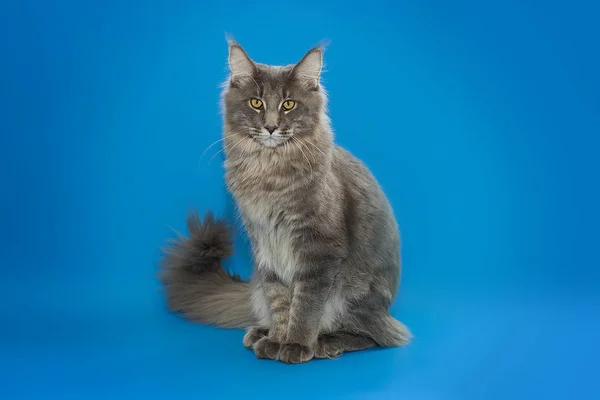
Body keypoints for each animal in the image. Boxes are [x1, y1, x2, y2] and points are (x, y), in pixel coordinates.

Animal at [161, 39, 412, 362]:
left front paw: (296, 344)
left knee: (381, 336)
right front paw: (278, 339)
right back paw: (260, 332)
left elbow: (305, 303)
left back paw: (326, 342)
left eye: (288, 104)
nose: (270, 127)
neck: (269, 172)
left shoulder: (319, 250)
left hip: (354, 293)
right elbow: (280, 299)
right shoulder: (265, 245)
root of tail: (386, 309)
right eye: (256, 103)